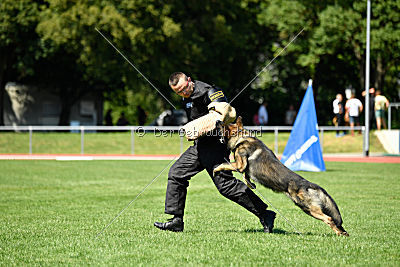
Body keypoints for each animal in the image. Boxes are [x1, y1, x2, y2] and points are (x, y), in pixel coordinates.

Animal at [214, 117, 348, 237]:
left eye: (224, 124)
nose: (217, 120)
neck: (241, 136)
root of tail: (310, 184)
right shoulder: (243, 168)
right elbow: (246, 178)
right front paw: (251, 184)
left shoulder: (239, 164)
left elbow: (224, 164)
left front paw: (216, 169)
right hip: (309, 209)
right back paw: (343, 233)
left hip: (308, 208)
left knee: (329, 219)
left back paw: (338, 233)